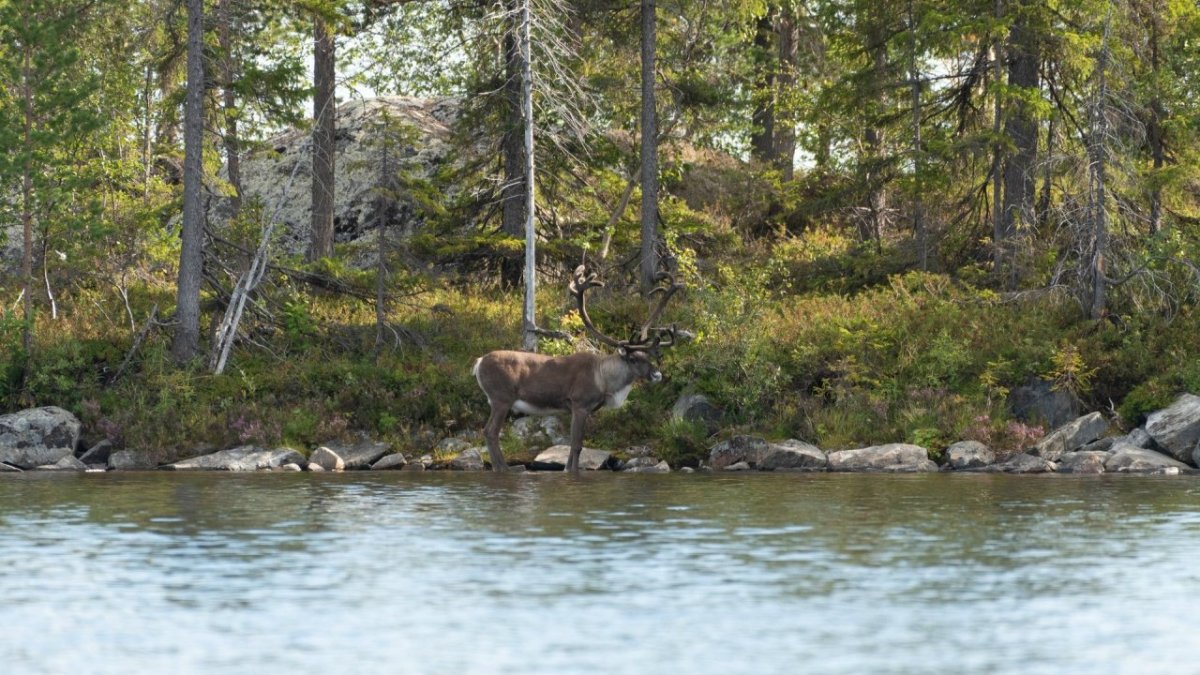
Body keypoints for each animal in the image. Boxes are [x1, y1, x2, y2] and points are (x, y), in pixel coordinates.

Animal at [472, 265, 684, 473]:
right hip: (501, 398)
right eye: (632, 358)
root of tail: (478, 362)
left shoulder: (583, 410)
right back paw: (503, 469)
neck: (603, 380)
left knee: (490, 432)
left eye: (648, 356)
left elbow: (574, 448)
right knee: (490, 432)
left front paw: (567, 469)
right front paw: (573, 472)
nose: (657, 374)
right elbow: (576, 445)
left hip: (498, 400)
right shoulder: (579, 404)